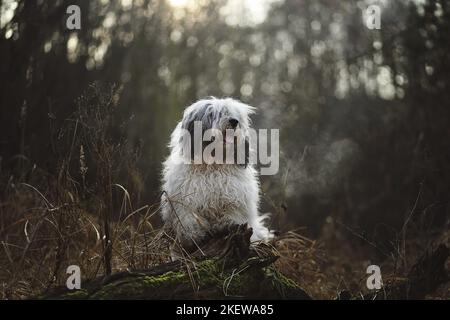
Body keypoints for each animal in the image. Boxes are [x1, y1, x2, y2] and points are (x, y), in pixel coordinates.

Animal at [162, 96, 274, 249]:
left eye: (235, 114)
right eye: (215, 114)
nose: (234, 121)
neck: (213, 164)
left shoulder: (235, 196)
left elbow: (232, 213)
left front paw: (226, 223)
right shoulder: (183, 199)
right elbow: (188, 218)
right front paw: (193, 236)